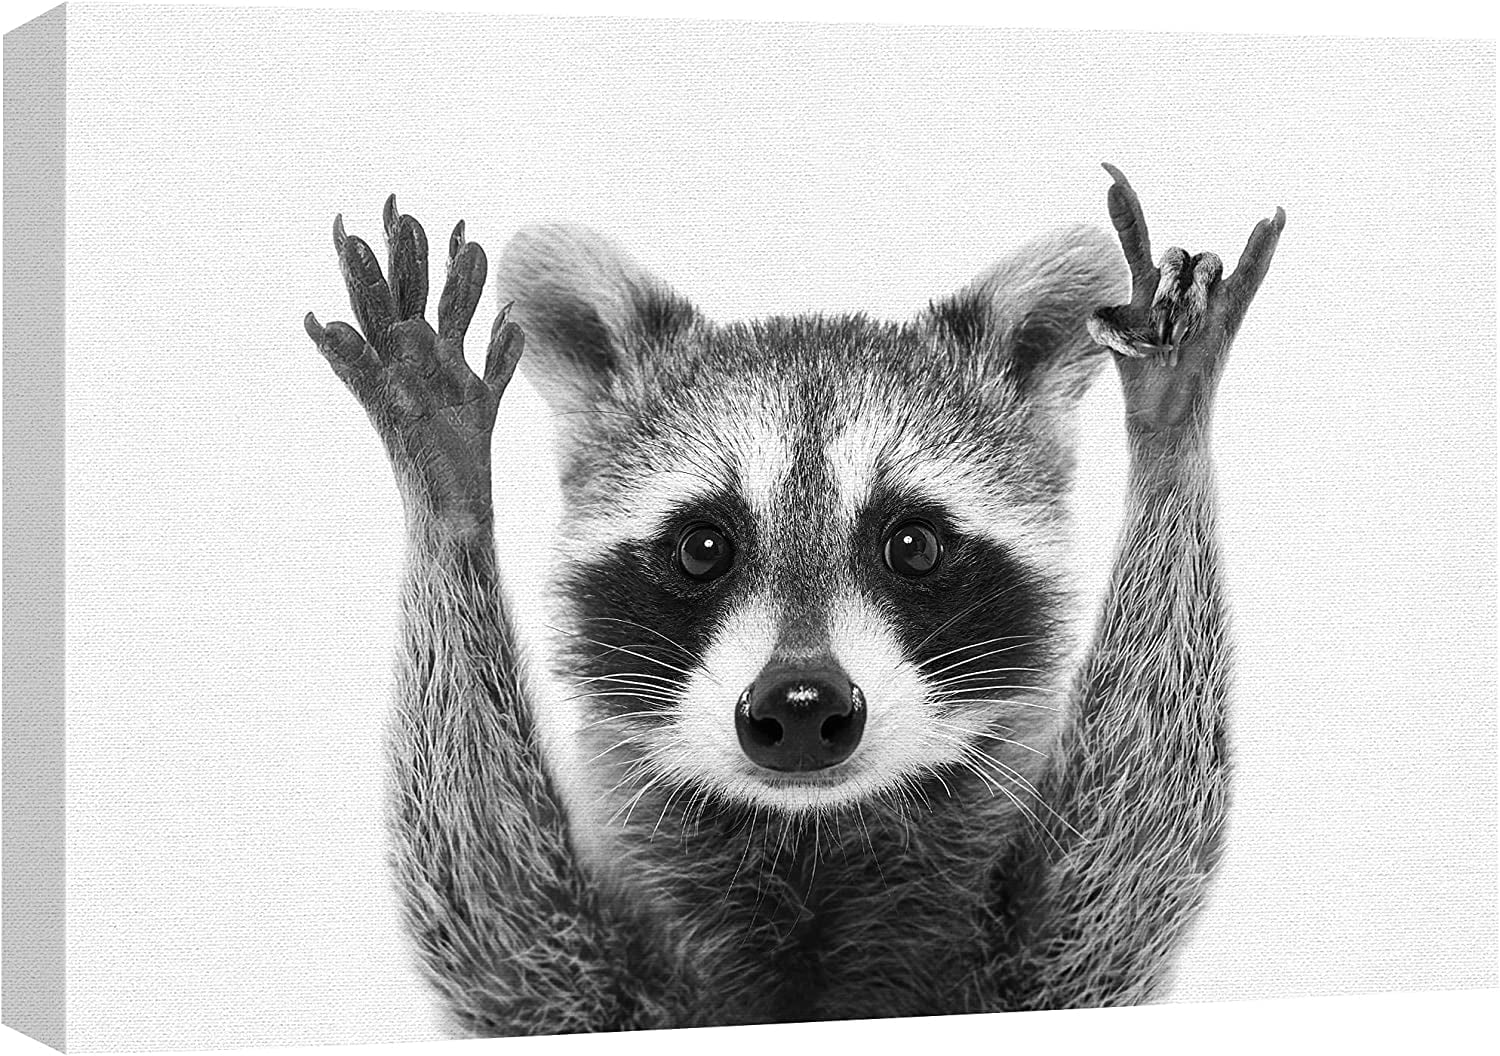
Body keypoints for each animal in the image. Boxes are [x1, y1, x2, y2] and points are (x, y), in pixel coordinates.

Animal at [304, 166, 1284, 1033]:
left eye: (913, 545)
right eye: (703, 548)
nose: (802, 704)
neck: (809, 844)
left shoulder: (1042, 977)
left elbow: (1129, 861)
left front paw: (1170, 425)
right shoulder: (580, 986)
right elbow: (493, 918)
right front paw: (445, 481)